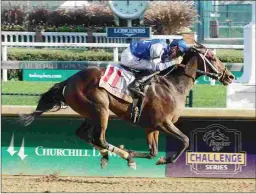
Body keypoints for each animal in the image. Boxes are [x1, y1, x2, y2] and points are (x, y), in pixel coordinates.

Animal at [20, 42, 234, 168]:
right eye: (212, 58)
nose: (230, 76)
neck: (172, 86)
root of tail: (69, 80)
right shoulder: (163, 123)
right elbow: (185, 140)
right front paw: (165, 159)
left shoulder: (151, 127)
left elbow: (152, 153)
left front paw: (150, 156)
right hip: (101, 109)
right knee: (100, 138)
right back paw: (123, 156)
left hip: (90, 113)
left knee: (85, 135)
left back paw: (108, 156)